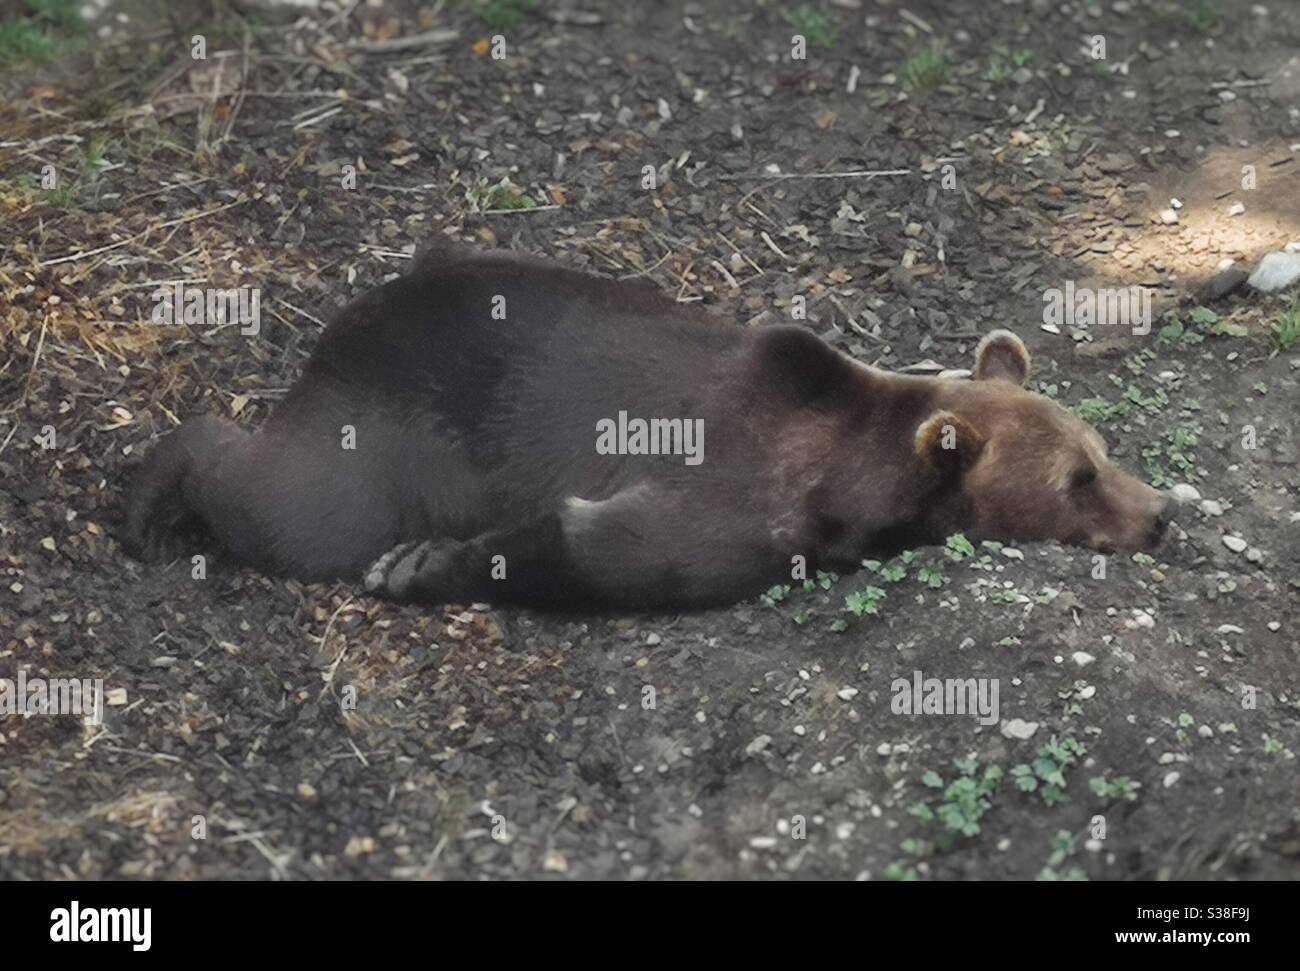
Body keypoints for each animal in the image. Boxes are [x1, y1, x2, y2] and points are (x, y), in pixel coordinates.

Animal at [122, 239, 1175, 610]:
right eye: (1078, 480)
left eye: (1102, 452)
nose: (1161, 510)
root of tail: (351, 319)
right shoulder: (737, 493)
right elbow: (609, 548)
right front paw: (420, 566)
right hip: (391, 432)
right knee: (297, 507)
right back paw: (151, 496)